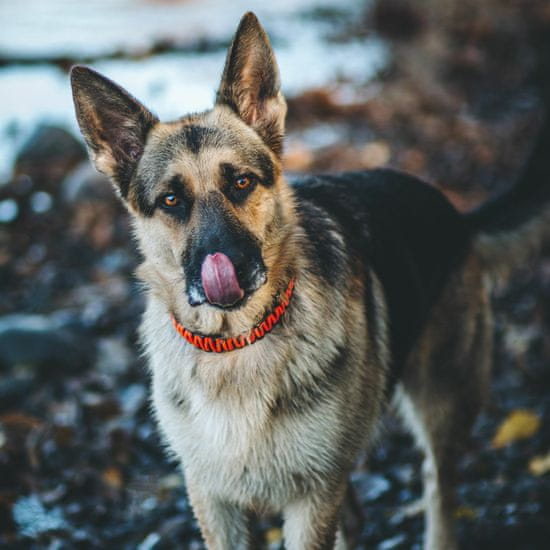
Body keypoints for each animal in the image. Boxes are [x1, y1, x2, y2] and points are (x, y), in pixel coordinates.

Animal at [70, 12, 550, 550]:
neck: (236, 346)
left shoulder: (312, 497)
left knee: (439, 487)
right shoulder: (217, 501)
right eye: (172, 201)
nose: (227, 269)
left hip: (441, 405)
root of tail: (455, 213)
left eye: (241, 182)